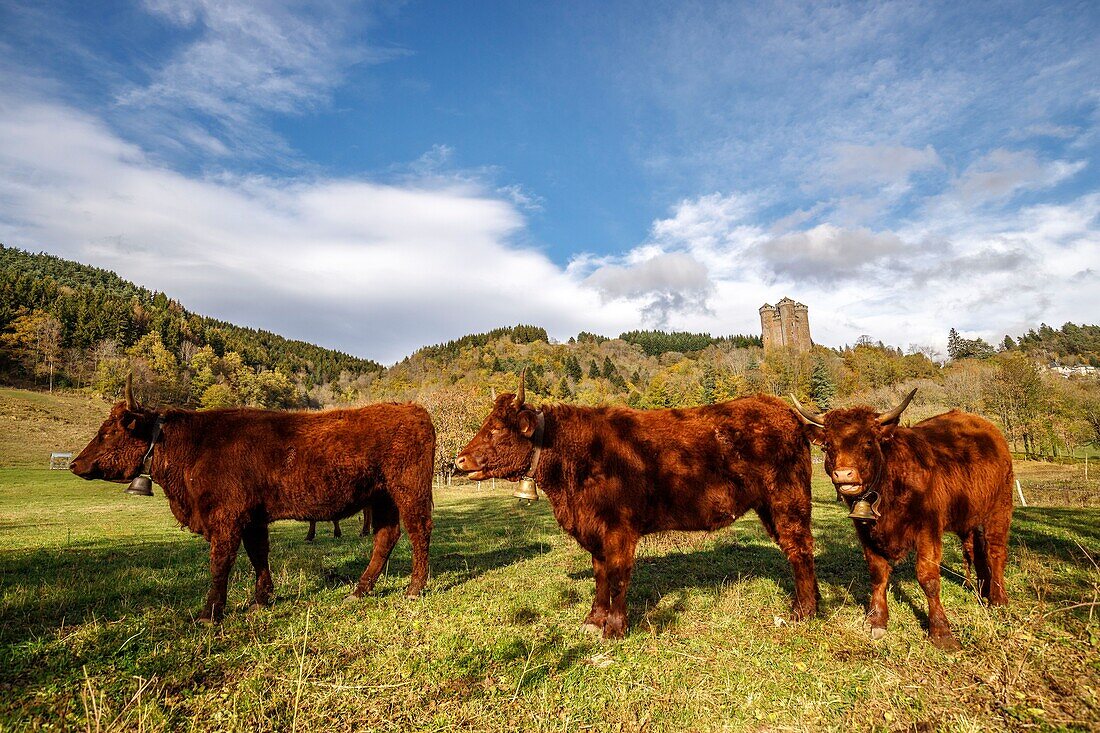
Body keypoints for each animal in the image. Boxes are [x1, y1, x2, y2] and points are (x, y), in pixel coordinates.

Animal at [67, 372, 437, 616]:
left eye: (109, 432)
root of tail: (412, 409)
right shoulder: (252, 519)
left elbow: (221, 562)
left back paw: (413, 589)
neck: (193, 445)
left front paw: (209, 613)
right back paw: (359, 592)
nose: (74, 463)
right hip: (383, 497)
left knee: (419, 531)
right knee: (386, 536)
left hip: (409, 491)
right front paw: (261, 600)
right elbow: (258, 555)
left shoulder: (226, 518)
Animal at [453, 367, 818, 638]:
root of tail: (782, 409)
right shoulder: (595, 531)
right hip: (770, 506)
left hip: (787, 500)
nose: (459, 459)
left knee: (799, 547)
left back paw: (803, 612)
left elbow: (617, 576)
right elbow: (600, 574)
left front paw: (615, 628)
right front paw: (593, 621)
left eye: (498, 429)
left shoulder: (619, 530)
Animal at [792, 385, 1012, 647]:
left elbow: (928, 578)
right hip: (968, 515)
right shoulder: (865, 531)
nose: (844, 474)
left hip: (1000, 507)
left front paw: (942, 632)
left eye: (868, 441)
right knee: (974, 548)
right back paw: (982, 589)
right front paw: (877, 620)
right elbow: (877, 574)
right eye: (827, 445)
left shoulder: (929, 528)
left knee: (995, 550)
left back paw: (998, 599)